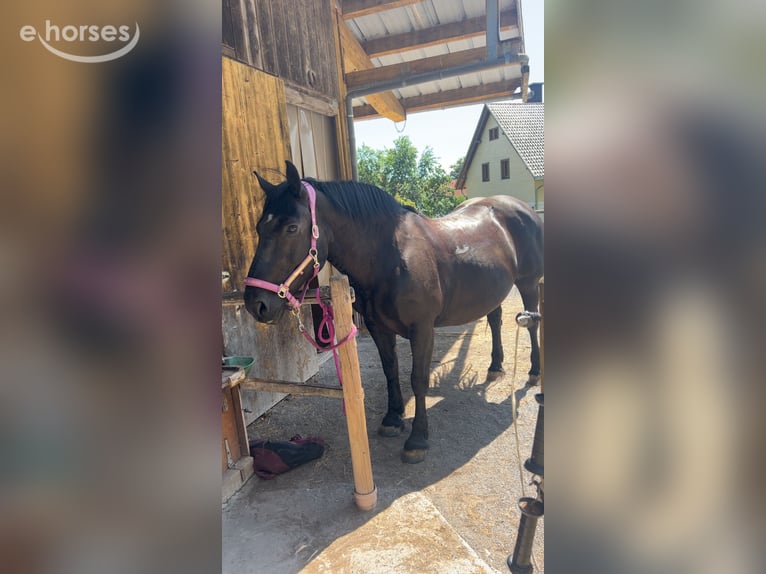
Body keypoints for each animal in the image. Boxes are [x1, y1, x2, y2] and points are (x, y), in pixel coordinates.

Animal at [244, 161, 544, 463]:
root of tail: (522, 208)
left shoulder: (422, 329)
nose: (256, 304)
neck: (390, 258)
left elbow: (418, 379)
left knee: (532, 324)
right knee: (495, 319)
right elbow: (390, 370)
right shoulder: (379, 327)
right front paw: (393, 418)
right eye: (259, 227)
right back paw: (495, 367)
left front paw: (418, 439)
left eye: (292, 227)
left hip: (529, 284)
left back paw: (534, 371)